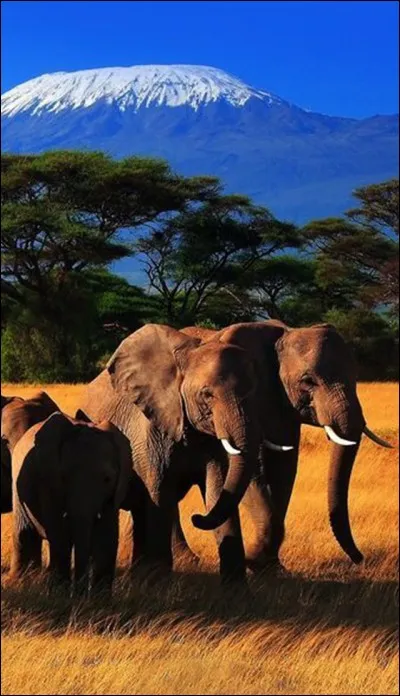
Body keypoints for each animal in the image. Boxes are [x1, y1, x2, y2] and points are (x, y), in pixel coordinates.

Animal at [10, 410, 132, 596]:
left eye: (107, 479)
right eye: (64, 478)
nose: (80, 594)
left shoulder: (115, 492)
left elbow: (107, 538)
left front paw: (100, 600)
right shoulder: (48, 480)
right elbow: (59, 534)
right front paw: (60, 596)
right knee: (24, 533)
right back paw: (22, 584)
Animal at [78, 324, 292, 584]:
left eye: (254, 393)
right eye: (207, 395)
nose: (197, 518)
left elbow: (217, 490)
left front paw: (237, 590)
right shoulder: (149, 427)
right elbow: (158, 493)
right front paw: (156, 583)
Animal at [177, 320, 392, 572]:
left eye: (356, 376)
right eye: (308, 381)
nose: (360, 559)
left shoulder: (283, 408)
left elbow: (284, 470)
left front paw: (270, 567)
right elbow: (252, 472)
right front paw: (254, 561)